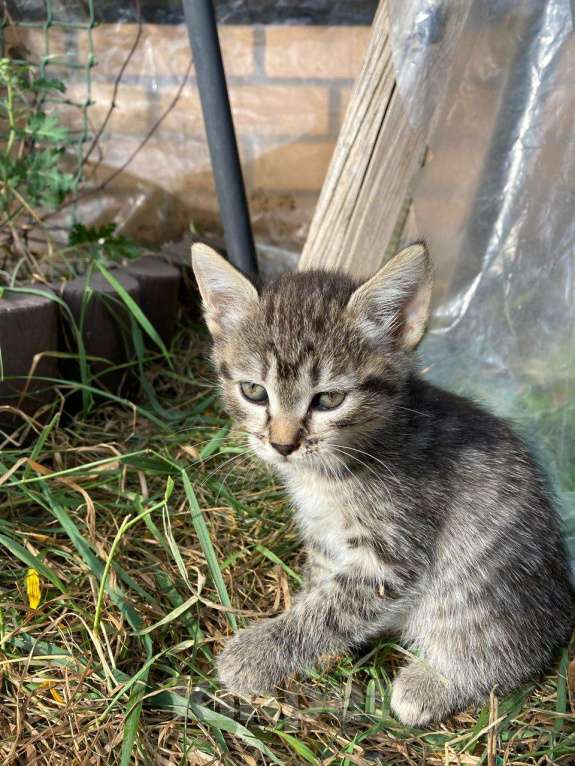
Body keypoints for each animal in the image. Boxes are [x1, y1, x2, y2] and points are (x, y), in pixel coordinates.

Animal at [191, 242, 572, 728]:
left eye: (329, 399)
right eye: (254, 392)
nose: (282, 444)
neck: (328, 474)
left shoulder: (391, 554)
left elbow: (332, 610)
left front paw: (260, 653)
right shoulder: (325, 540)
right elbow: (322, 590)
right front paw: (312, 644)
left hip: (479, 588)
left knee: (509, 653)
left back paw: (432, 684)